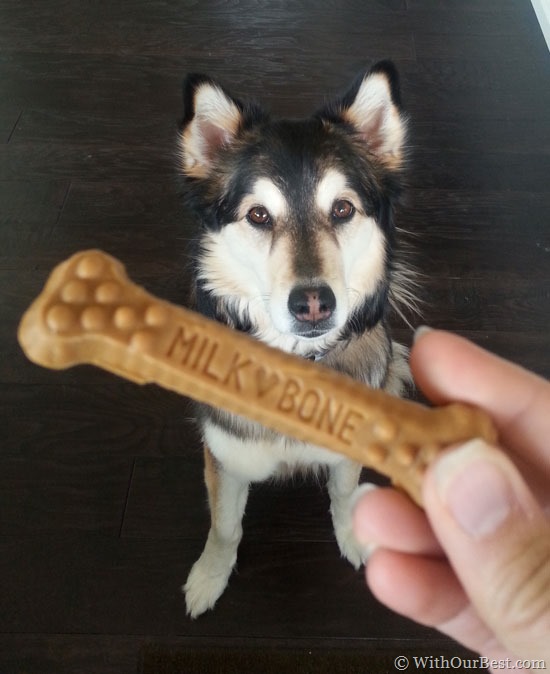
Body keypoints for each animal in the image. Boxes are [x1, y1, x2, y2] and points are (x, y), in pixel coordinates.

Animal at [179, 60, 416, 616]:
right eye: (259, 215)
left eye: (343, 210)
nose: (313, 303)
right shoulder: (225, 456)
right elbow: (225, 526)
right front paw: (210, 576)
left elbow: (344, 495)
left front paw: (355, 538)